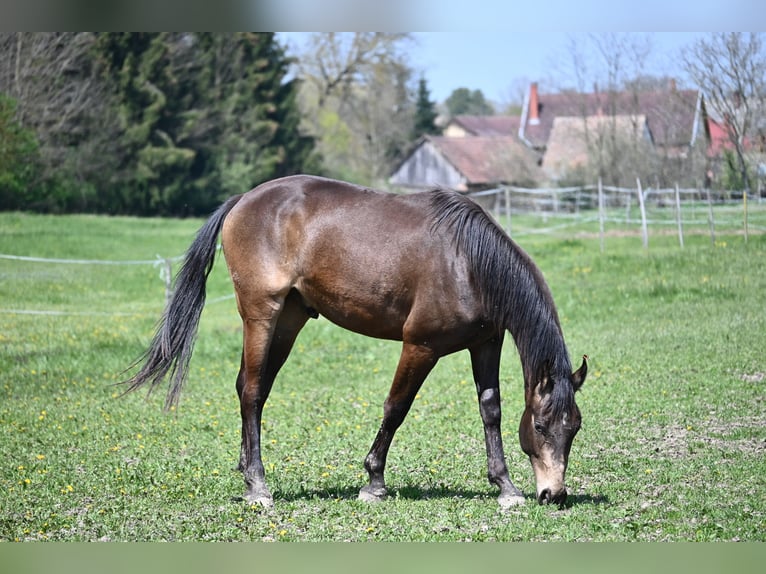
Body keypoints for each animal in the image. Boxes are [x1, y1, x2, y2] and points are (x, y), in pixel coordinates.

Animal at [123, 174, 587, 508]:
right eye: (541, 426)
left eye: (574, 428)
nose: (554, 494)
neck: (468, 262)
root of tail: (243, 200)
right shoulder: (420, 347)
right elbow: (396, 408)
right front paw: (374, 481)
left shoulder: (486, 343)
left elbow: (490, 410)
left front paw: (505, 486)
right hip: (261, 314)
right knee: (252, 391)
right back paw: (258, 485)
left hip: (290, 319)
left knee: (251, 388)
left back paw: (245, 468)